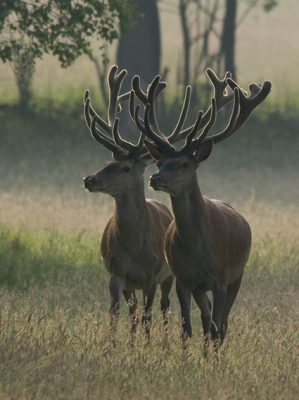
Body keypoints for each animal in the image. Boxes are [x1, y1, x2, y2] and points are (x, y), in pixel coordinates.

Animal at [137, 76, 274, 348]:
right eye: (160, 162)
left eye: (184, 163)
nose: (155, 178)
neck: (197, 250)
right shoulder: (183, 280)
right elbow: (187, 328)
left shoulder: (220, 278)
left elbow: (216, 328)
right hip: (201, 287)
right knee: (206, 318)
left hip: (238, 275)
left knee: (222, 323)